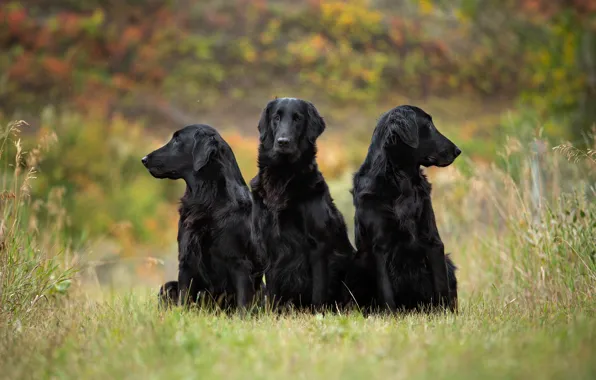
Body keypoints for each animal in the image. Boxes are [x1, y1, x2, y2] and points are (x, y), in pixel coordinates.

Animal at [142, 124, 264, 312]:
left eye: (177, 140)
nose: (144, 159)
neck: (207, 199)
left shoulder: (241, 263)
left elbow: (243, 303)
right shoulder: (186, 259)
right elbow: (184, 297)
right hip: (167, 286)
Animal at [250, 96, 356, 310]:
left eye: (298, 119)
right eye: (276, 118)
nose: (283, 142)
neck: (282, 177)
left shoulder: (319, 245)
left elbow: (318, 291)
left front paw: (317, 314)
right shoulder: (270, 244)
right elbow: (273, 292)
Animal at [344, 105, 460, 314]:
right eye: (428, 125)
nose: (458, 150)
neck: (401, 181)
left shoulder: (432, 241)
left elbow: (441, 286)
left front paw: (445, 316)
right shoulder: (379, 248)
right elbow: (386, 291)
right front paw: (390, 316)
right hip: (357, 265)